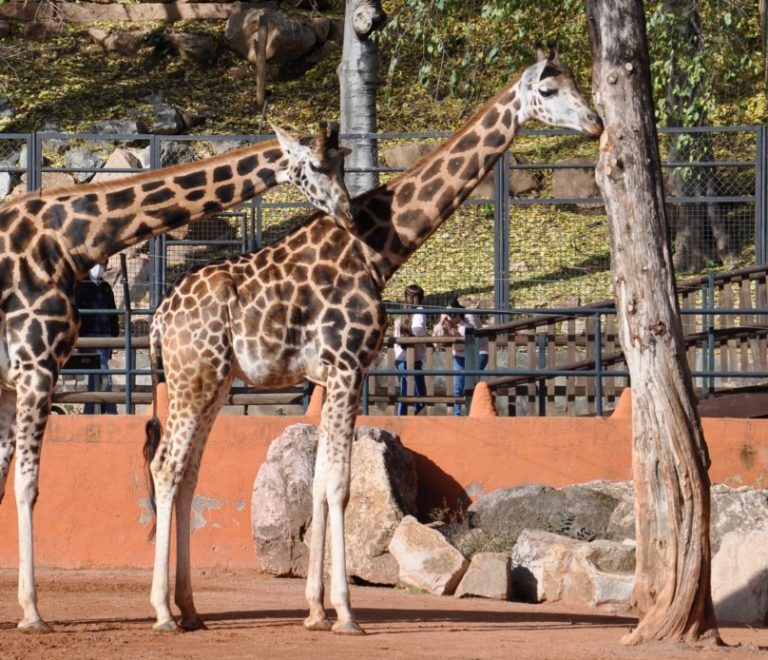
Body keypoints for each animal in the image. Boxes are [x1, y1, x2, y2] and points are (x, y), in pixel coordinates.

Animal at [0, 121, 352, 632]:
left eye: (344, 161)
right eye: (319, 166)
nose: (348, 212)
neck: (68, 242)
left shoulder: (13, 380)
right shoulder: (36, 367)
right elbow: (27, 485)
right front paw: (31, 612)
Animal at [142, 45, 600, 636]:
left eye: (576, 83)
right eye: (548, 91)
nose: (595, 123)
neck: (379, 251)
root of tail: (157, 320)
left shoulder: (330, 375)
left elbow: (318, 483)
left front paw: (315, 610)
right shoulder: (347, 366)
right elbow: (339, 485)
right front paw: (345, 613)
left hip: (213, 382)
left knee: (189, 472)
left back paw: (191, 610)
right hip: (193, 378)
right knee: (166, 467)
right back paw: (162, 612)